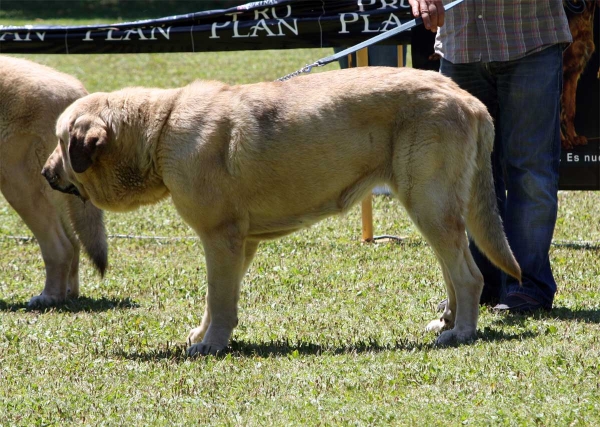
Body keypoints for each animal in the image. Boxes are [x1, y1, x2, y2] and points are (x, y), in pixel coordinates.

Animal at [43, 66, 520, 354]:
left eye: (62, 142)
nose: (46, 172)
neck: (159, 130)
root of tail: (468, 99)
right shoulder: (239, 243)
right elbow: (217, 299)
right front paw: (204, 333)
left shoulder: (220, 238)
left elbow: (219, 297)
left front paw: (211, 344)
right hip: (433, 211)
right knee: (453, 272)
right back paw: (447, 323)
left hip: (429, 206)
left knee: (469, 275)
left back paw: (462, 332)